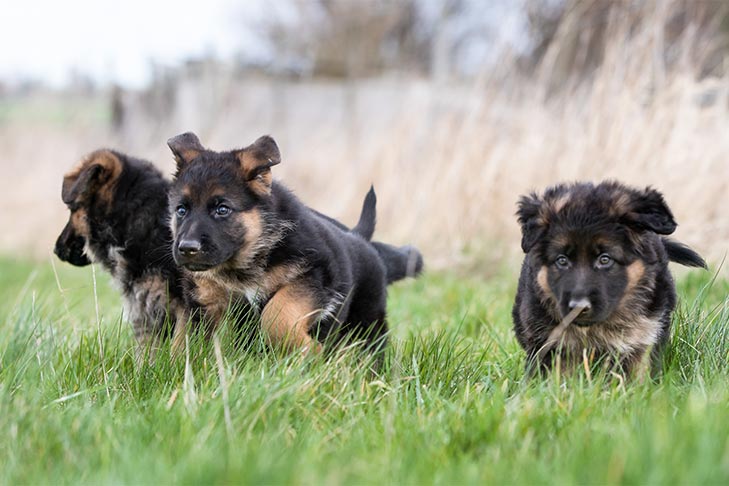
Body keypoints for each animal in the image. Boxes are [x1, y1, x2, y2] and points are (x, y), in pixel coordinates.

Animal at [165, 131, 420, 356]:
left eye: (222, 209)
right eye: (181, 210)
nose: (187, 248)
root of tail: (359, 237)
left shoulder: (312, 276)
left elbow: (277, 313)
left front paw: (307, 351)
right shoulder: (204, 301)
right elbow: (189, 340)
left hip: (366, 322)